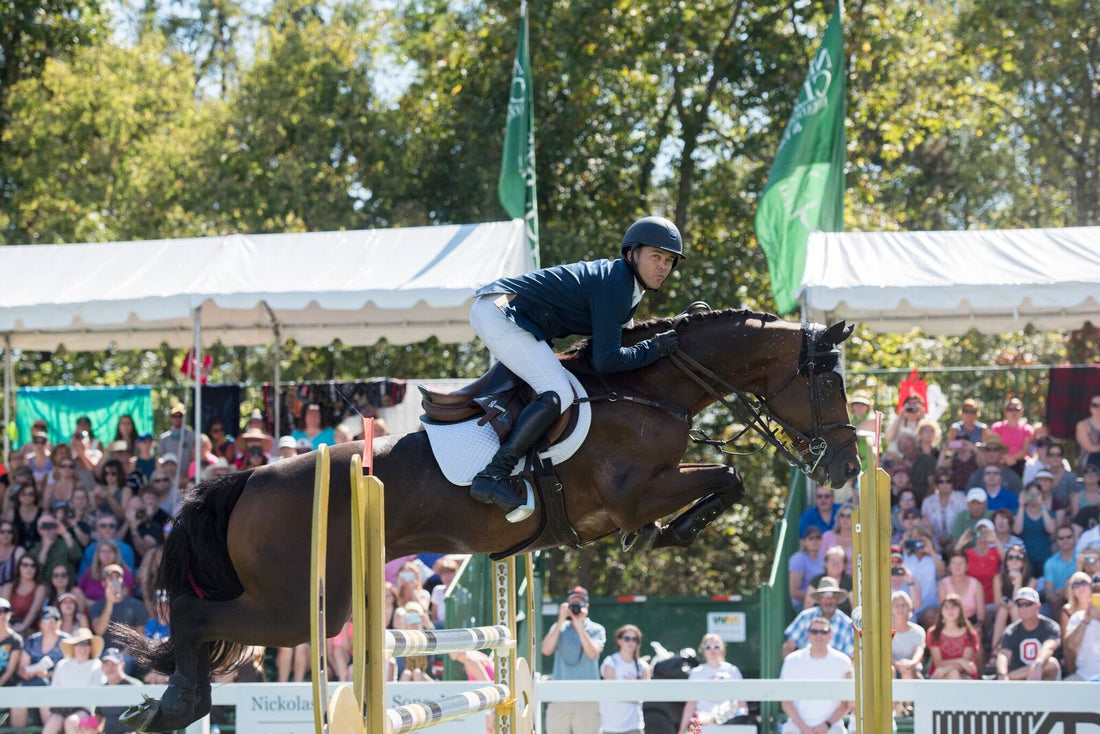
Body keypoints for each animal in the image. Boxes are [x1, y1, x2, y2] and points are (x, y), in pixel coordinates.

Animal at [118, 308, 858, 730]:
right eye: (828, 382)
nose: (848, 466)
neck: (647, 389)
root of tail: (248, 478)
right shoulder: (633, 492)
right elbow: (725, 478)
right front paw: (672, 530)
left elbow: (726, 478)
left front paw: (667, 532)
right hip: (306, 605)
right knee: (194, 613)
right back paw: (173, 706)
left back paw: (166, 707)